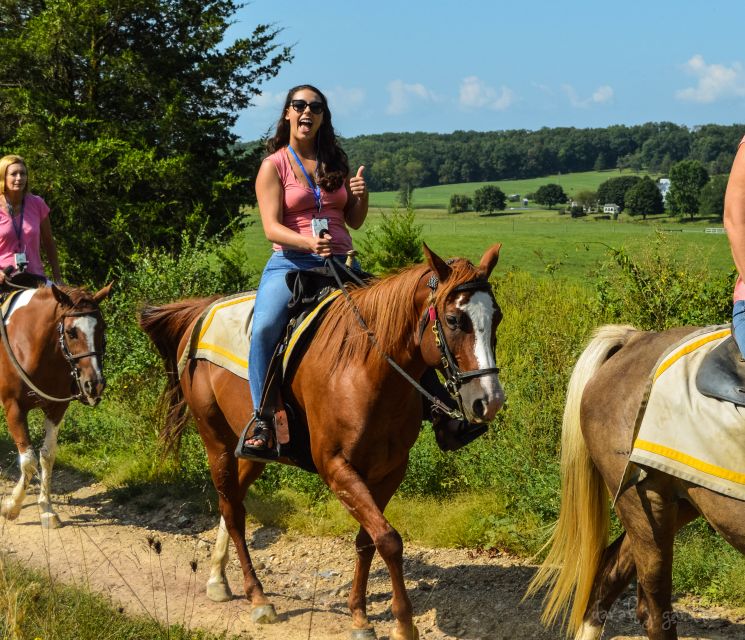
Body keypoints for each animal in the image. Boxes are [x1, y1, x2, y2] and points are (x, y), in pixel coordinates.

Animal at [0, 282, 110, 528]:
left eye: (102, 329)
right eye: (71, 332)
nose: (94, 384)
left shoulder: (56, 409)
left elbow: (47, 456)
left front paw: (47, 510)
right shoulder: (14, 408)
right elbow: (28, 461)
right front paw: (11, 507)